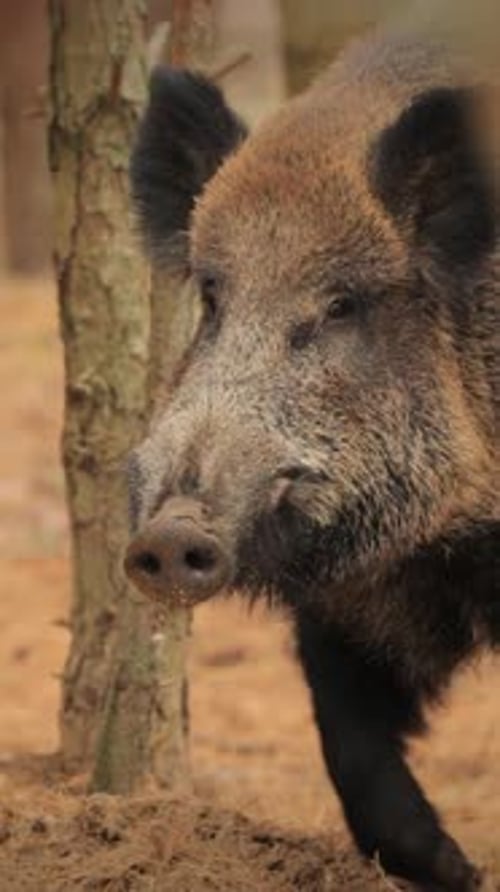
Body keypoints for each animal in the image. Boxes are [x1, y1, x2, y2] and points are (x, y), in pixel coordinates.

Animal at [125, 25, 499, 892]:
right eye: (212, 297)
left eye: (340, 306)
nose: (170, 532)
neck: (428, 551)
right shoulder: (343, 608)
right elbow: (349, 743)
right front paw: (455, 870)